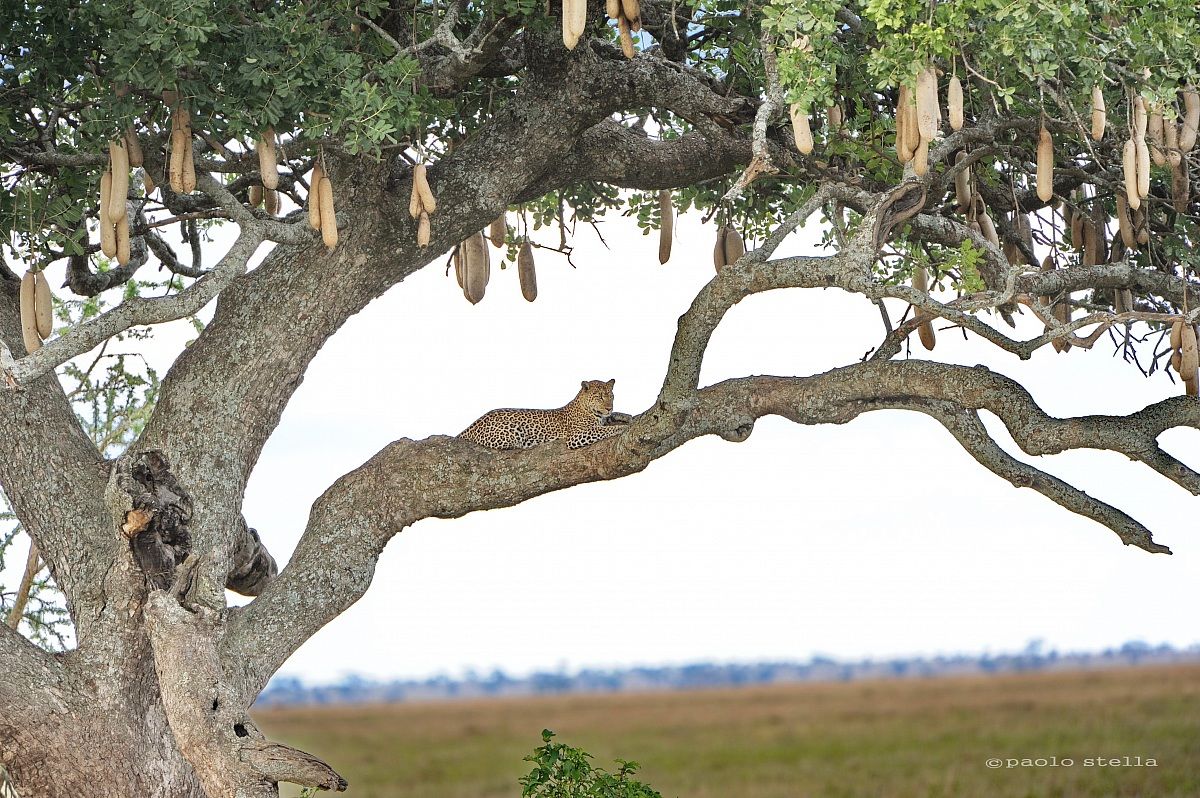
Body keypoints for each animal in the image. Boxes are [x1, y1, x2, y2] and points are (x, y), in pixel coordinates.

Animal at [458, 379, 630, 450]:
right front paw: (622, 428)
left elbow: (611, 418)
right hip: (509, 433)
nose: (609, 407)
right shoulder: (576, 436)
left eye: (611, 396)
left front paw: (625, 416)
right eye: (599, 397)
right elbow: (605, 430)